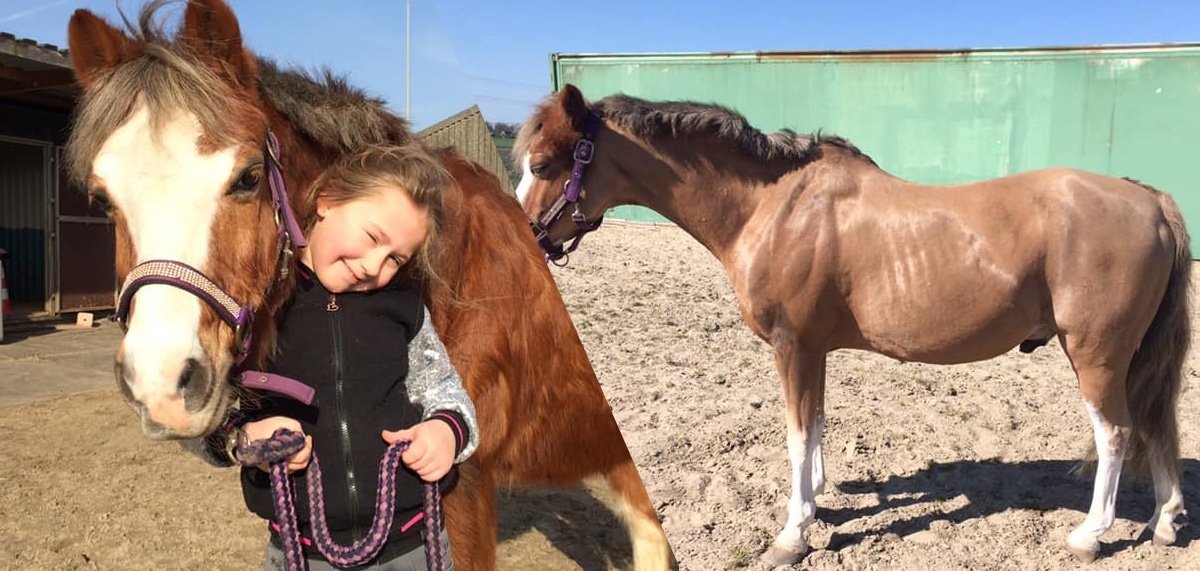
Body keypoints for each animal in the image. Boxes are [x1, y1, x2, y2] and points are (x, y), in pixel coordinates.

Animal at [514, 84, 1191, 565]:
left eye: (543, 164)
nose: (528, 242)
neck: (773, 207)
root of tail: (1150, 199)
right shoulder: (814, 349)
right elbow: (815, 428)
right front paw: (819, 504)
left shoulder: (792, 346)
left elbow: (795, 435)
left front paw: (792, 534)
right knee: (1155, 426)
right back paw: (1165, 520)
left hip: (1096, 353)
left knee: (1117, 434)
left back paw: (1090, 534)